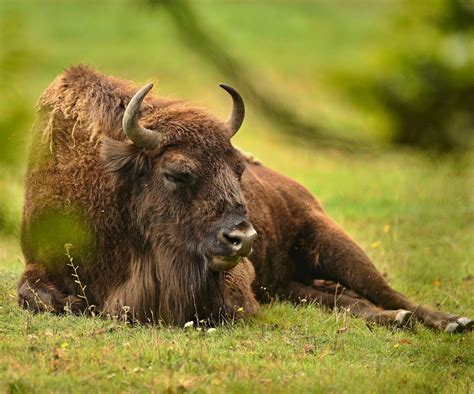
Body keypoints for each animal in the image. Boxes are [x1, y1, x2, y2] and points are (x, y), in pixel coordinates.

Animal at [17, 65, 470, 332]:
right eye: (176, 172)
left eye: (238, 168)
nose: (243, 239)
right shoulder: (39, 263)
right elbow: (36, 297)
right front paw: (72, 301)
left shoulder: (235, 282)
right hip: (288, 284)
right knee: (340, 299)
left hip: (333, 242)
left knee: (385, 291)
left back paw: (448, 321)